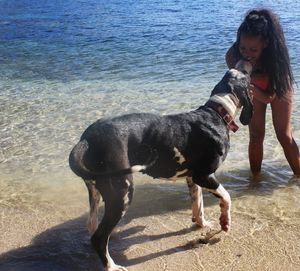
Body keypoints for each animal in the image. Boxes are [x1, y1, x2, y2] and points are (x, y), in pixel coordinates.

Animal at [69, 60, 252, 270]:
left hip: (96, 191)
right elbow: (226, 197)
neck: (216, 113)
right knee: (99, 237)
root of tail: (87, 139)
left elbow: (198, 206)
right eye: (246, 75)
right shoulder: (204, 175)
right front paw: (225, 221)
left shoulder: (192, 179)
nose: (245, 61)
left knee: (92, 226)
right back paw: (112, 266)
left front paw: (202, 224)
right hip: (122, 192)